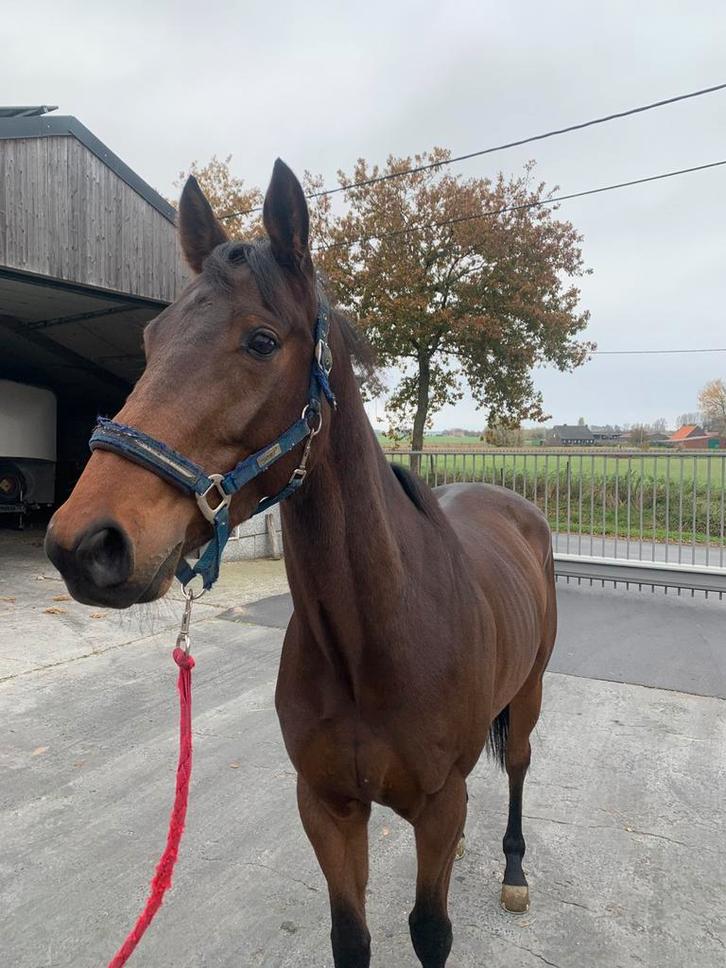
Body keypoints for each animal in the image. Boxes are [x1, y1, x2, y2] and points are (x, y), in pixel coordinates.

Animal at [45, 159, 557, 968]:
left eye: (261, 341)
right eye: (152, 337)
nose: (85, 543)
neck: (378, 638)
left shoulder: (436, 804)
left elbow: (431, 931)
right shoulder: (327, 806)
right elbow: (351, 936)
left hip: (530, 692)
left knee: (520, 768)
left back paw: (513, 869)